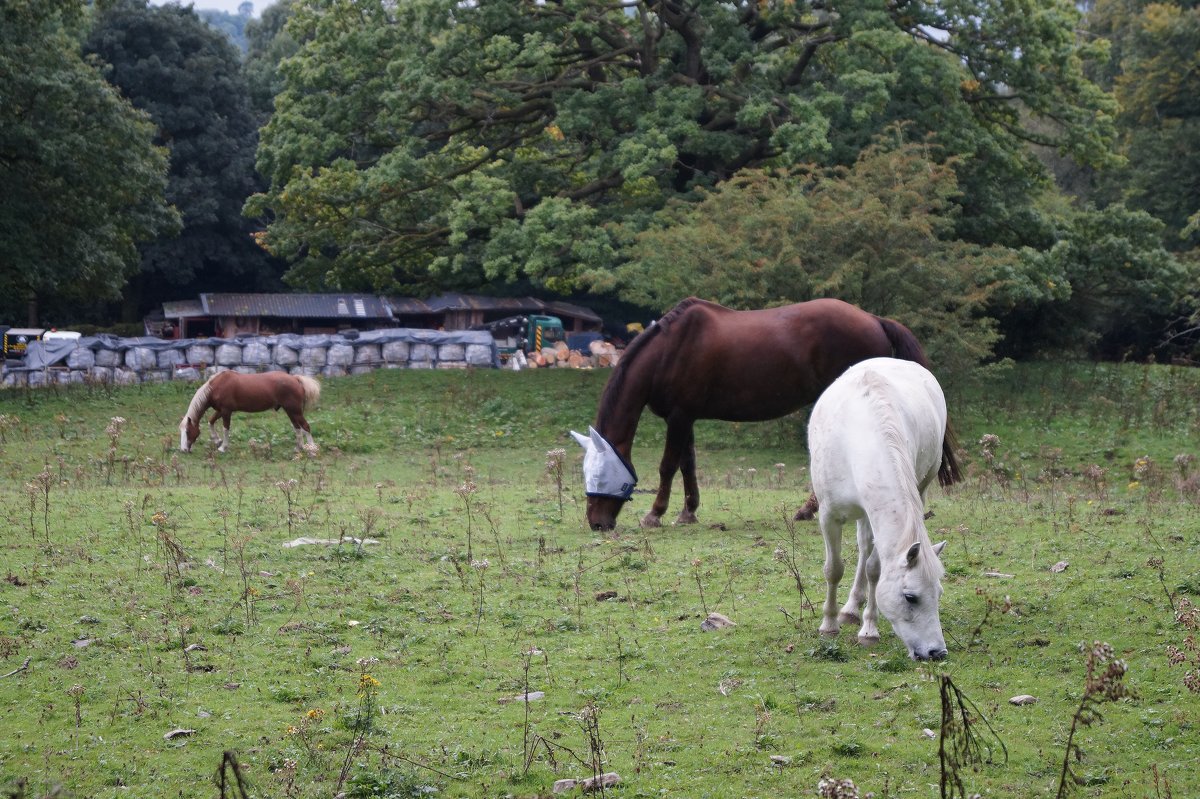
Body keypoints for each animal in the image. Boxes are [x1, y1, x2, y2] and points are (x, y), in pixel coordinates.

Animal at [176, 369, 319, 451]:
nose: (183, 449)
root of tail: (295, 378)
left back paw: (312, 449)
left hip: (295, 411)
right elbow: (210, 422)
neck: (216, 387)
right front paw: (217, 440)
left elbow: (225, 428)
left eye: (188, 431)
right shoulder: (220, 410)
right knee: (297, 428)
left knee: (305, 426)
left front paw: (223, 447)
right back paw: (298, 448)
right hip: (290, 411)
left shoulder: (226, 411)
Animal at [568, 297, 955, 527]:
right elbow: (687, 464)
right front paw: (688, 511)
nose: (597, 523)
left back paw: (811, 509)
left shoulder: (677, 418)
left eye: (601, 476)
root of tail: (873, 319)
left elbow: (667, 466)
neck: (670, 350)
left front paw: (655, 513)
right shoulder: (686, 417)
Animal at [811, 357, 950, 657]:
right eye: (910, 597)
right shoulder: (828, 516)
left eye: (939, 594)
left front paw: (869, 631)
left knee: (866, 551)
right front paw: (828, 625)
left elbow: (875, 570)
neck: (857, 436)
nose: (937, 652)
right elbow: (833, 569)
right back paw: (848, 610)